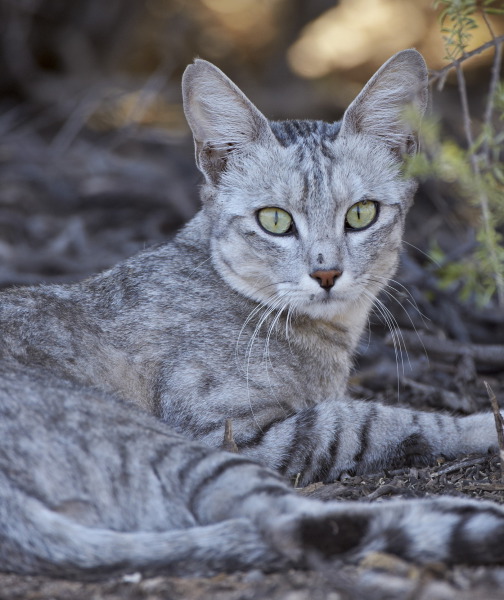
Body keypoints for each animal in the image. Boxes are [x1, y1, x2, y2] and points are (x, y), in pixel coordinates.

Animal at [0, 49, 504, 580]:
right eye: (275, 220)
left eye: (361, 214)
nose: (327, 273)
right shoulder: (231, 430)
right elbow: (378, 420)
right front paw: (483, 424)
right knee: (288, 523)